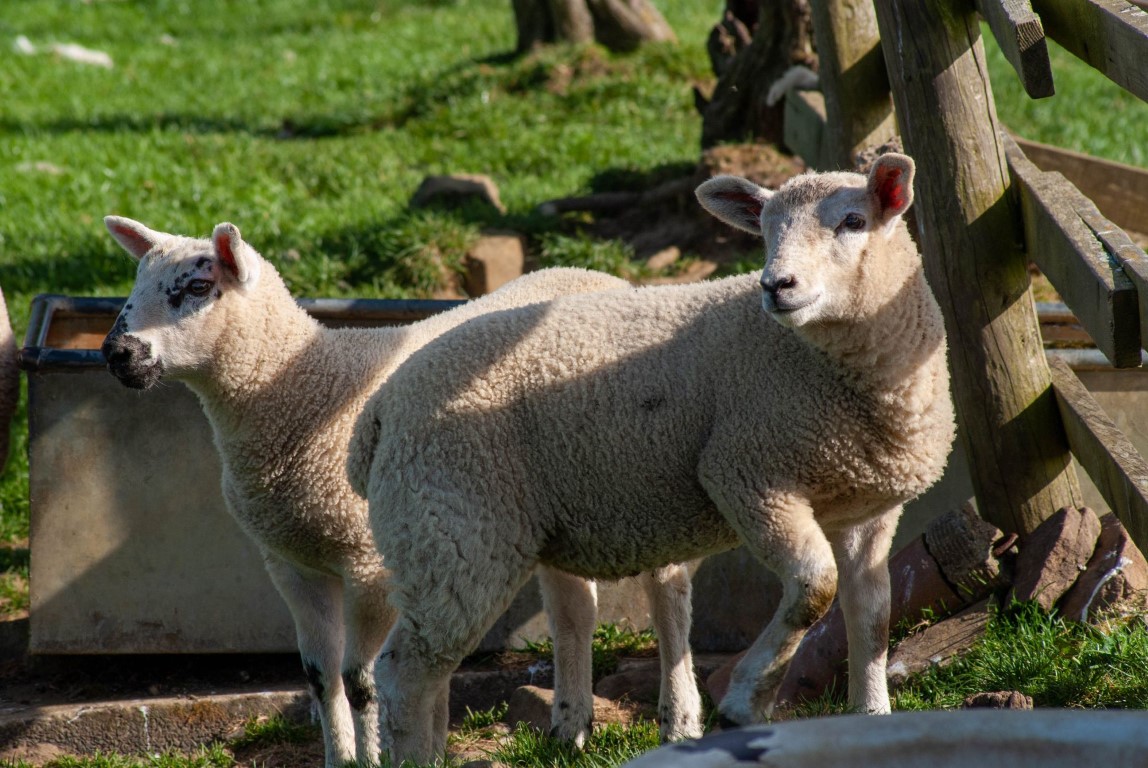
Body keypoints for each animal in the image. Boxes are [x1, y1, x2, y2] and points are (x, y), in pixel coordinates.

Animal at [101, 216, 707, 766]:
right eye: (137, 281)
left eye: (197, 288)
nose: (116, 353)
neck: (302, 389)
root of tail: (601, 275)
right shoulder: (291, 563)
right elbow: (320, 678)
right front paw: (341, 758)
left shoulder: (369, 563)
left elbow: (361, 680)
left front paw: (372, 754)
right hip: (557, 499)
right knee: (574, 610)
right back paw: (569, 729)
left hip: (642, 480)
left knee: (669, 597)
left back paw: (679, 721)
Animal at [348, 152, 959, 762]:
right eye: (764, 232)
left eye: (854, 221)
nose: (776, 285)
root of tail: (378, 412)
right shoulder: (745, 473)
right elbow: (814, 588)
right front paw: (745, 699)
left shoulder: (869, 510)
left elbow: (872, 615)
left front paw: (873, 716)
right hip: (455, 529)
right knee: (404, 672)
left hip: (459, 534)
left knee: (439, 668)